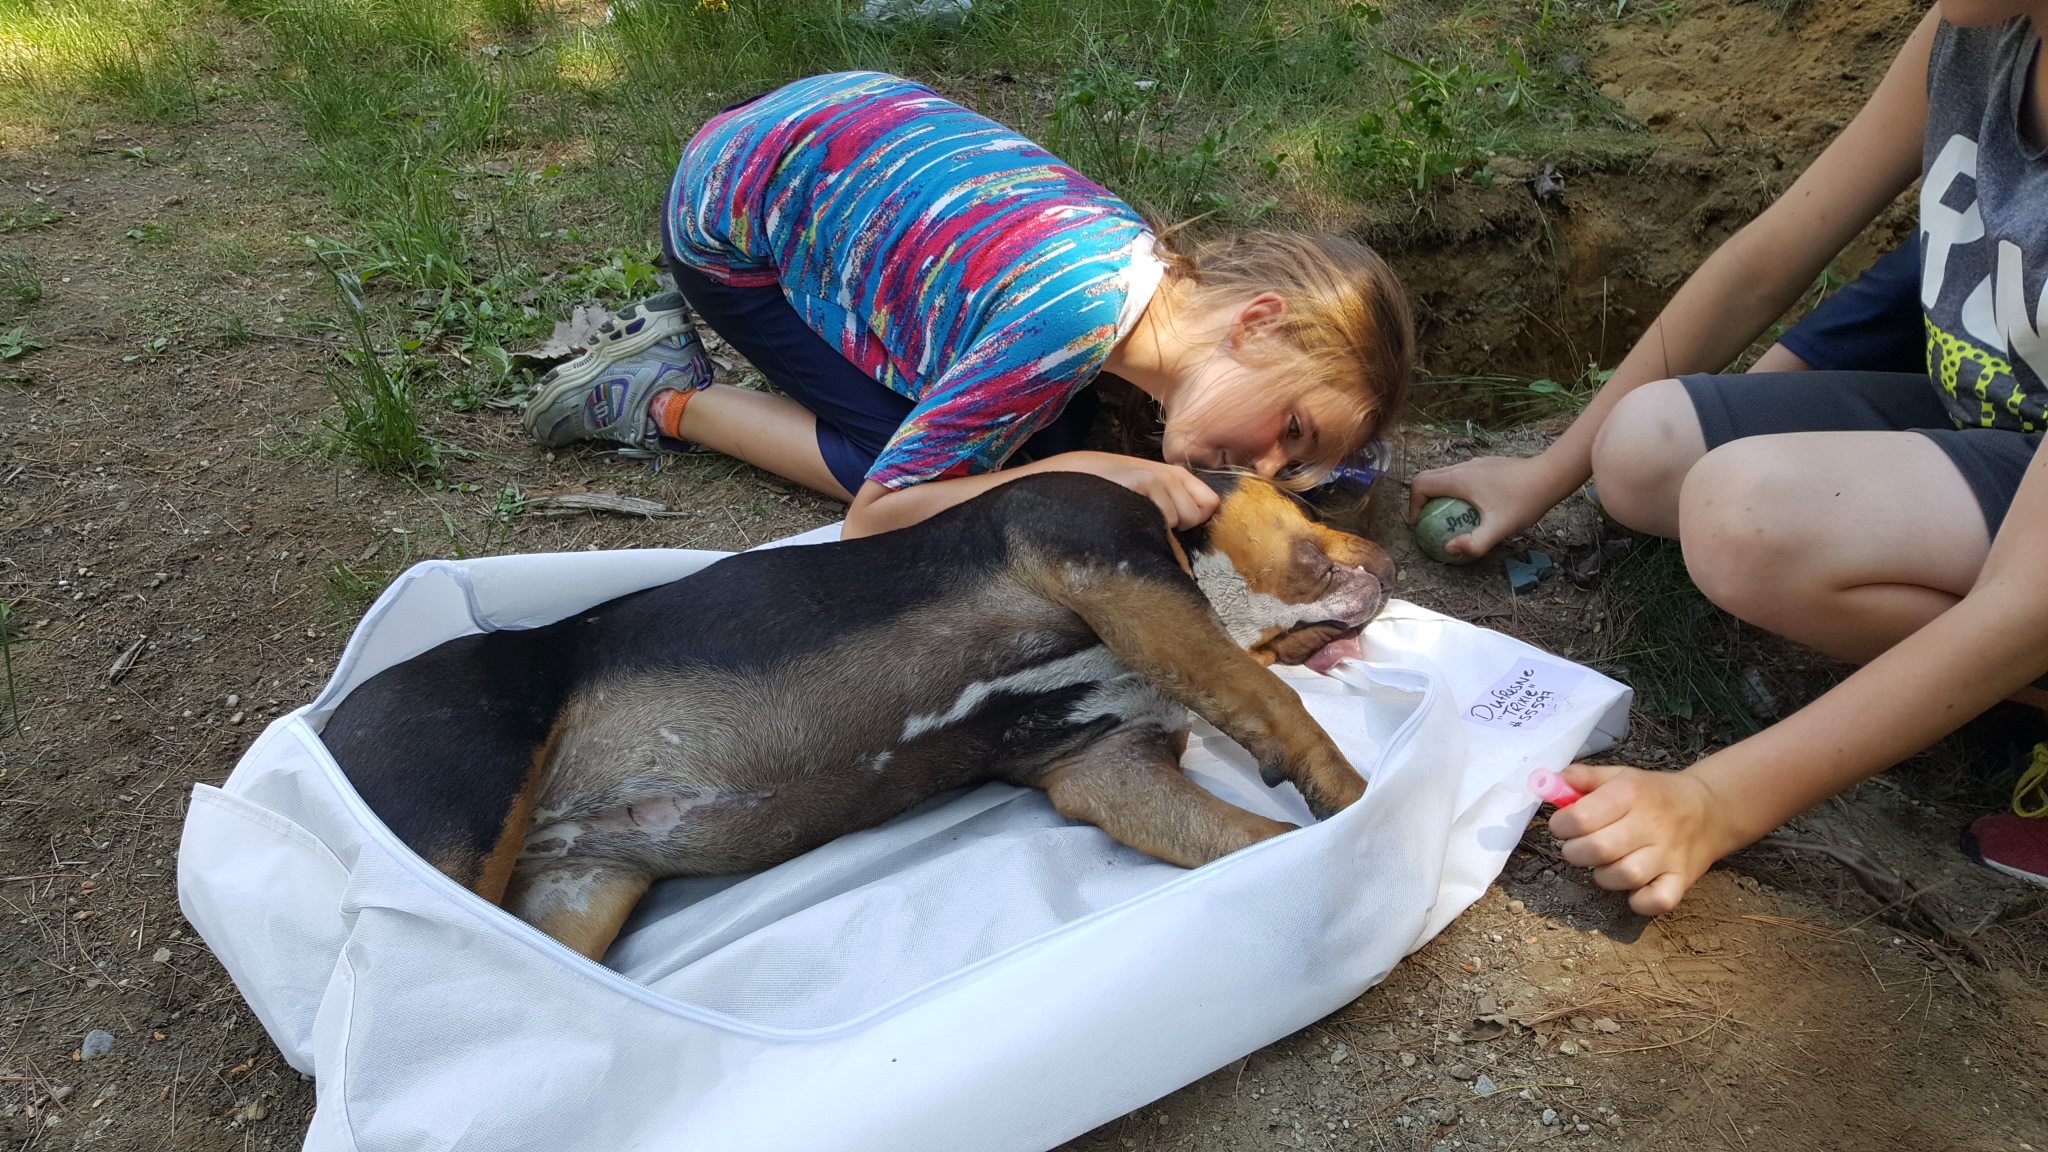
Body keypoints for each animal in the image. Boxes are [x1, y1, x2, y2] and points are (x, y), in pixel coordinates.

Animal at [321, 471, 1395, 960]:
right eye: (1307, 497)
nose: (1389, 556)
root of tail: (325, 728)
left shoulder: (1108, 766)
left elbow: (1245, 834)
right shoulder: (1108, 562)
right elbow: (1268, 696)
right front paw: (1355, 795)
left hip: (573, 893)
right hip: (461, 814)